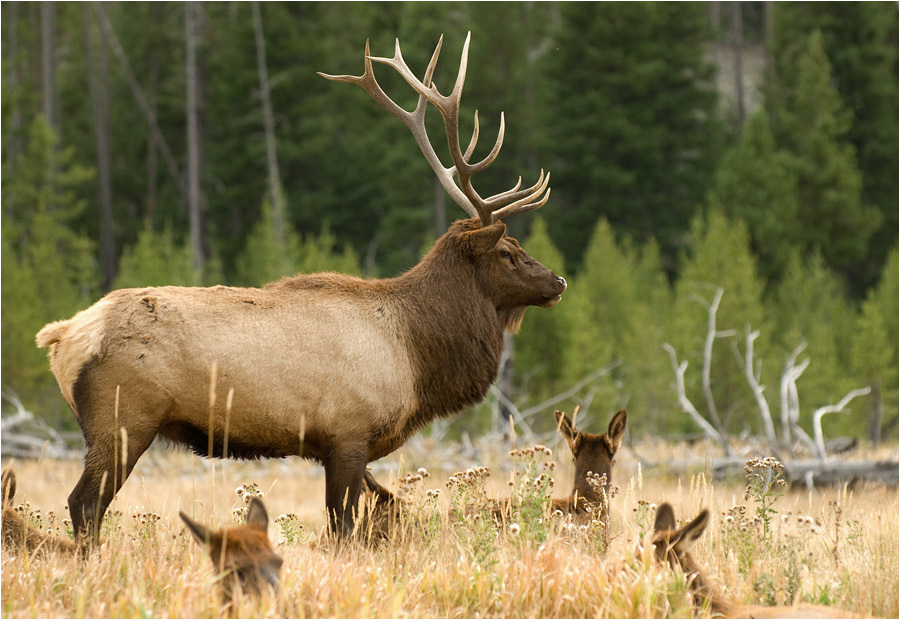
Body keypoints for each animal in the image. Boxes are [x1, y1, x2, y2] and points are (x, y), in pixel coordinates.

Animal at [36, 33, 566, 544]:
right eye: (508, 251)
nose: (558, 280)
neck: (416, 356)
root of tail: (62, 336)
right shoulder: (349, 434)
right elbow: (343, 528)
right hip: (122, 421)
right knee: (84, 504)